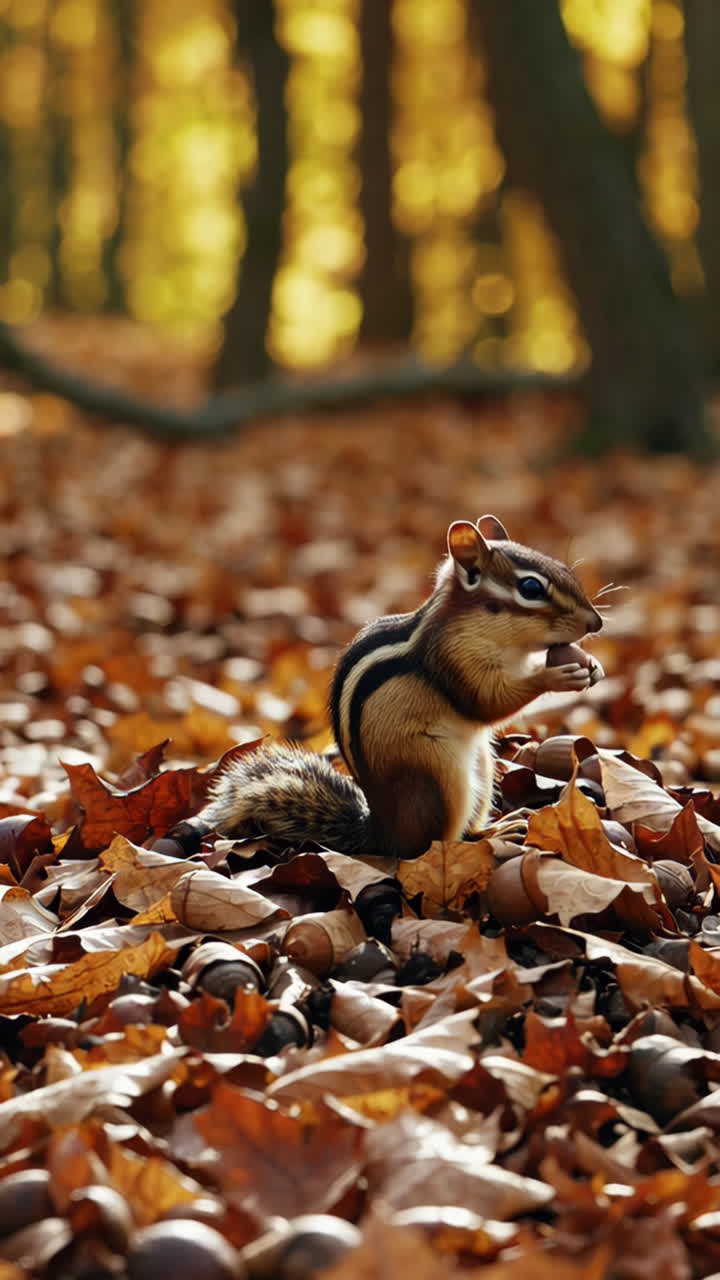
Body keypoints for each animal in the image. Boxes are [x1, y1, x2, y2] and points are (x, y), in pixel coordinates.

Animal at [170, 516, 603, 860]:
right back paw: (484, 842)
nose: (596, 623)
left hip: (480, 766)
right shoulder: (452, 658)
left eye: (562, 567)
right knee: (435, 844)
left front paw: (591, 667)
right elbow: (485, 701)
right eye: (531, 588)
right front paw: (555, 677)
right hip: (442, 776)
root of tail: (381, 832)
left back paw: (499, 827)